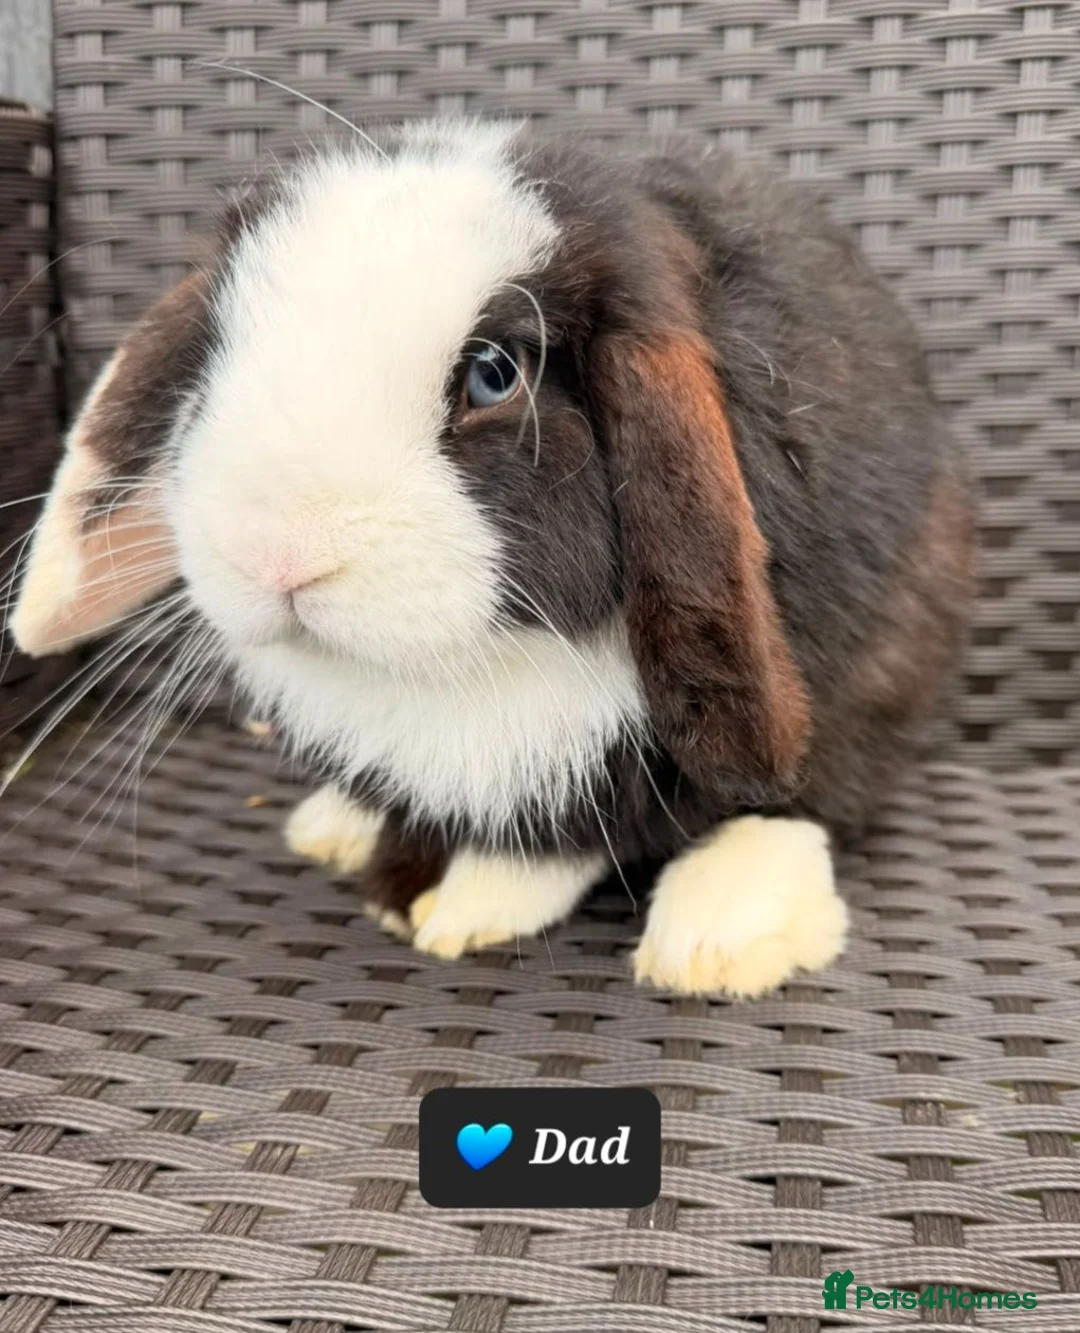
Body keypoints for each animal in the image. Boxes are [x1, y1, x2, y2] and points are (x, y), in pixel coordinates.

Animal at [11, 120, 973, 997]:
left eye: (494, 372)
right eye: (215, 354)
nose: (274, 554)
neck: (452, 673)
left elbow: (565, 836)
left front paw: (458, 904)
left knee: (816, 797)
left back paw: (716, 934)